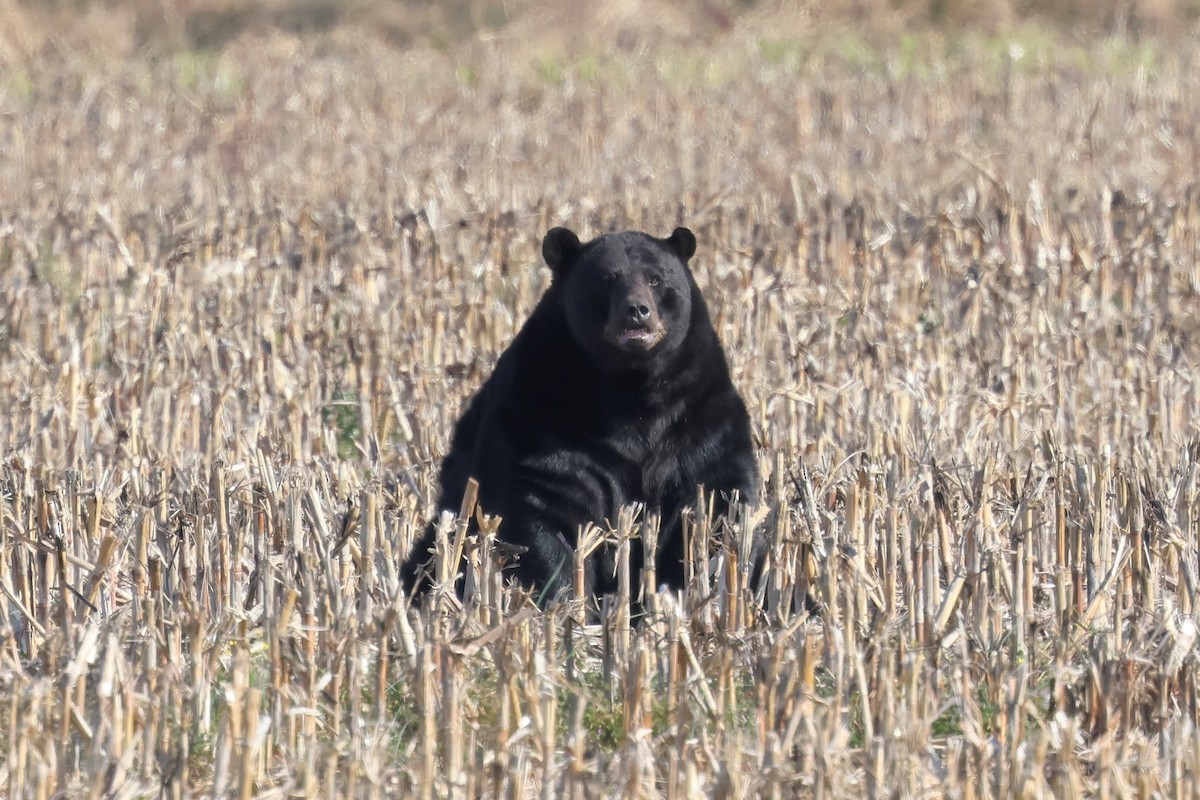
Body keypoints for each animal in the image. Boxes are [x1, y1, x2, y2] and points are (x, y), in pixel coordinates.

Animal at [401, 225, 759, 602]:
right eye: (606, 279)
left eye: (657, 278)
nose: (637, 310)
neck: (632, 391)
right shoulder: (538, 419)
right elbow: (542, 512)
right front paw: (562, 599)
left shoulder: (700, 418)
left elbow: (720, 502)